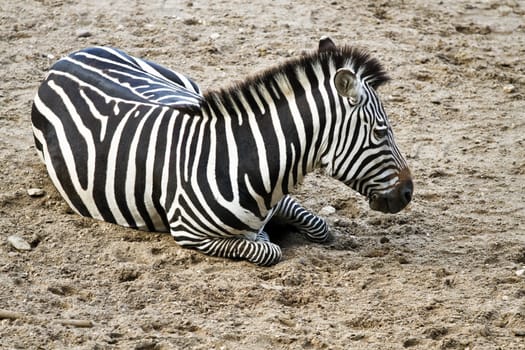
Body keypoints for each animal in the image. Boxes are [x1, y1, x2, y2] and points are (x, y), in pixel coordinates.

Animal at [31, 36, 414, 266]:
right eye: (381, 131)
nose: (409, 192)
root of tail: (66, 58)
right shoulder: (189, 232)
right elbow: (267, 250)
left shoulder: (281, 201)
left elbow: (319, 226)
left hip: (183, 85)